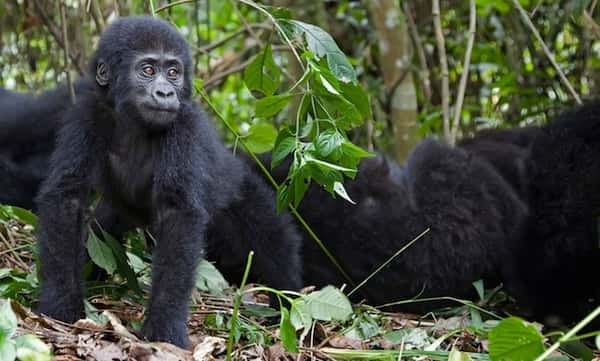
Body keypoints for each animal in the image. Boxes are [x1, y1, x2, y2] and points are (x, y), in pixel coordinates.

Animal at [35, 16, 302, 346]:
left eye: (173, 73)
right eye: (148, 70)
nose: (165, 93)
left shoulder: (183, 126)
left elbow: (179, 216)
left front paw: (165, 325)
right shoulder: (88, 113)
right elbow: (67, 198)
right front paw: (61, 302)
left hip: (242, 191)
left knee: (274, 241)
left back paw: (287, 303)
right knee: (101, 230)